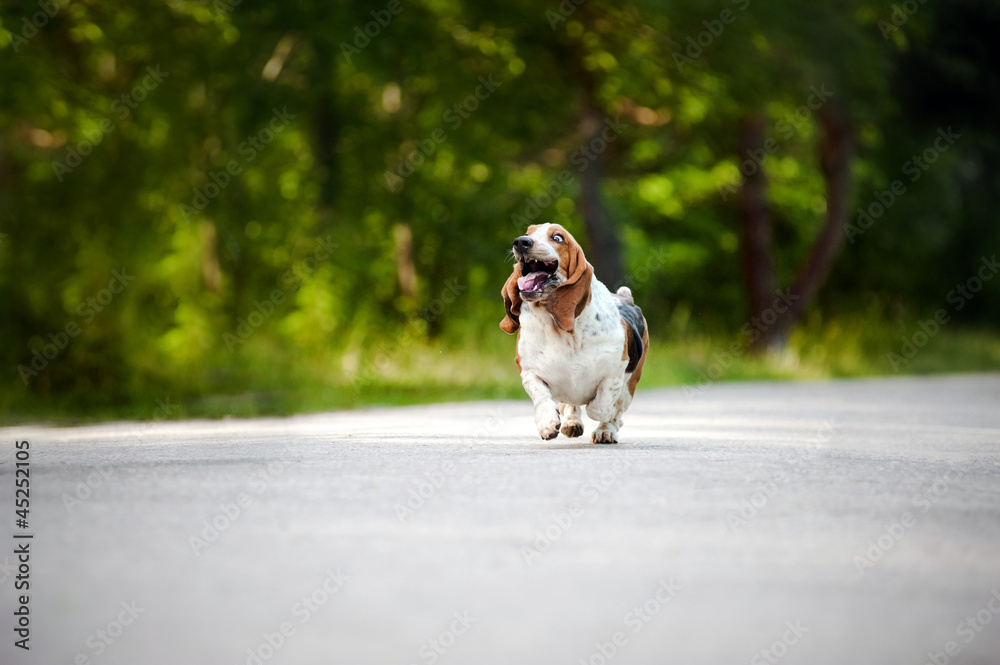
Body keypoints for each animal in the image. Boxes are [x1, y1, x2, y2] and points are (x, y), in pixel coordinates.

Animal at [500, 220, 648, 444]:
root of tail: (625, 297)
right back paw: (571, 423)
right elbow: (542, 396)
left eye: (558, 238)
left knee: (614, 409)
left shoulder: (615, 371)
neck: (563, 331)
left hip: (632, 381)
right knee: (570, 405)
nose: (521, 242)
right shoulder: (529, 370)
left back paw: (606, 431)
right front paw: (547, 423)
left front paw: (605, 418)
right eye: (528, 232)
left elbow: (601, 406)